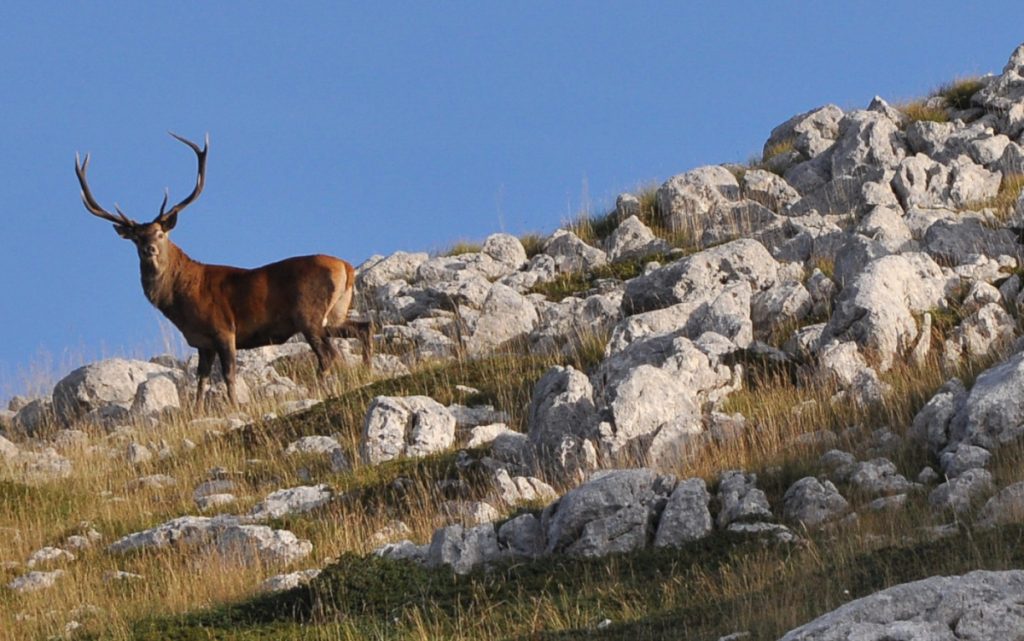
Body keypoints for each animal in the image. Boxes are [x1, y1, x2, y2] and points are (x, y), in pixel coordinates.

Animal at [75, 132, 372, 411]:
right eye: (136, 238)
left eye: (160, 233)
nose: (149, 249)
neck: (181, 300)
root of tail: (345, 267)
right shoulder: (202, 342)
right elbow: (201, 380)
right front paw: (197, 411)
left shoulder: (223, 329)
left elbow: (229, 374)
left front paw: (234, 405)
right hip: (334, 314)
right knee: (363, 328)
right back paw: (366, 369)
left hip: (308, 314)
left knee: (329, 355)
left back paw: (322, 388)